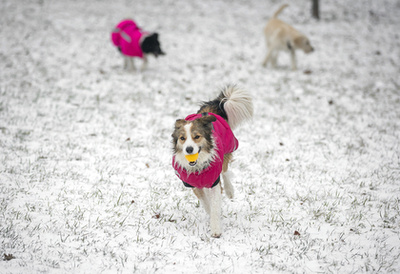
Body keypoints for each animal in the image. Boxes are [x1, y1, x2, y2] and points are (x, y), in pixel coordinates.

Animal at [172, 85, 253, 238]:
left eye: (197, 136)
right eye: (182, 138)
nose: (189, 149)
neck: (198, 166)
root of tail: (208, 111)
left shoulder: (214, 181)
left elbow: (215, 204)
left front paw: (215, 229)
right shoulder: (192, 184)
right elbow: (206, 203)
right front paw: (210, 214)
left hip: (227, 149)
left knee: (225, 171)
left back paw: (229, 191)